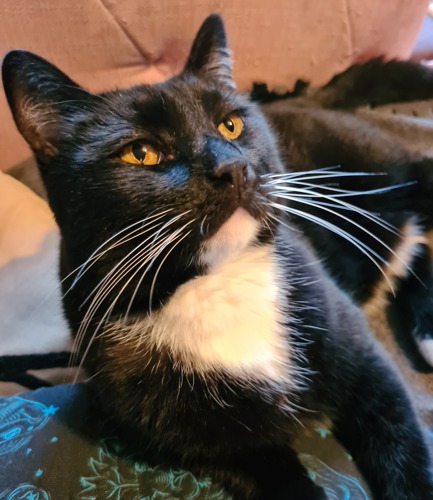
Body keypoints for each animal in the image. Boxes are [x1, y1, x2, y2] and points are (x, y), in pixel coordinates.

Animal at [2, 13, 432, 500]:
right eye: (141, 152)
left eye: (230, 126)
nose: (233, 167)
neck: (216, 281)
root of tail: (305, 96)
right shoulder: (216, 449)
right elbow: (273, 475)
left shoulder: (361, 355)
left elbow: (401, 443)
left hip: (388, 171)